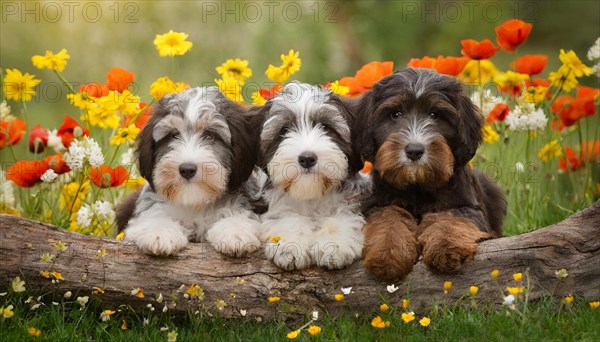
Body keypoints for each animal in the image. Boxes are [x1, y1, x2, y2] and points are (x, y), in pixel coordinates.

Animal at [118, 87, 264, 256]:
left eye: (210, 135)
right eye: (174, 135)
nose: (187, 169)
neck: (196, 202)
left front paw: (235, 232)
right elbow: (155, 215)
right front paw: (160, 233)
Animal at [255, 82, 364, 270]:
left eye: (326, 127)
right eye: (284, 130)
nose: (307, 158)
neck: (311, 195)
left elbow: (343, 213)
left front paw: (334, 244)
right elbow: (286, 217)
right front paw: (290, 245)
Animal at [350, 68, 508, 282]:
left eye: (435, 114)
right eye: (395, 114)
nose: (414, 151)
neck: (418, 185)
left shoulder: (468, 207)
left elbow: (450, 218)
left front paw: (446, 247)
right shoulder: (376, 204)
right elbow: (387, 217)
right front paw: (388, 254)